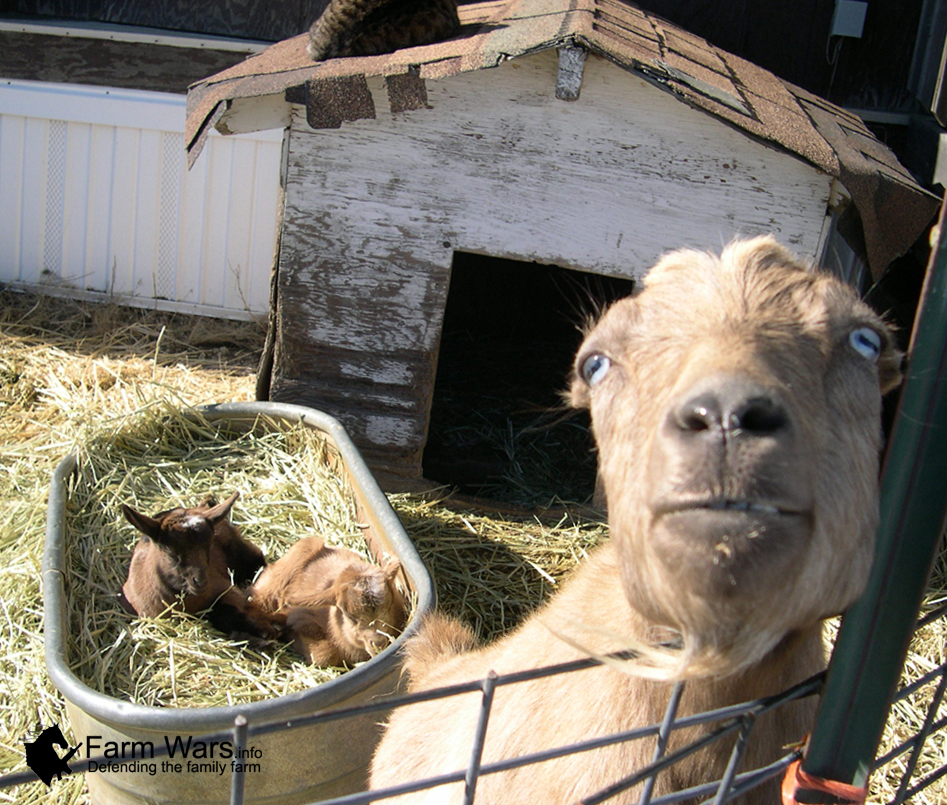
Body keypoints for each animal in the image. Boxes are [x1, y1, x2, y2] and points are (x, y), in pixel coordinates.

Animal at [120, 492, 280, 641]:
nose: (200, 582)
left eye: (209, 546)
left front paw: (265, 631)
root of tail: (201, 506)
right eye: (169, 551)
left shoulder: (225, 588)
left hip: (240, 552)